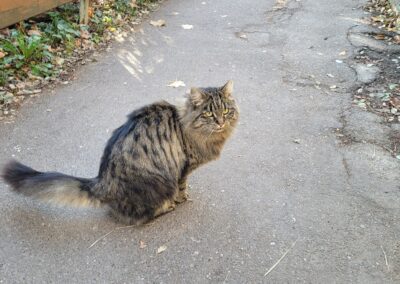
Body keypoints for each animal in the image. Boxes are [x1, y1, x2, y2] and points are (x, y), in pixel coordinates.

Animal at [1, 80, 239, 224]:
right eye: (208, 114)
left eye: (226, 111)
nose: (220, 122)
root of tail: (102, 181)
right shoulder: (183, 167)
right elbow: (182, 186)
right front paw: (182, 198)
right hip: (159, 183)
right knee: (140, 216)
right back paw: (167, 206)